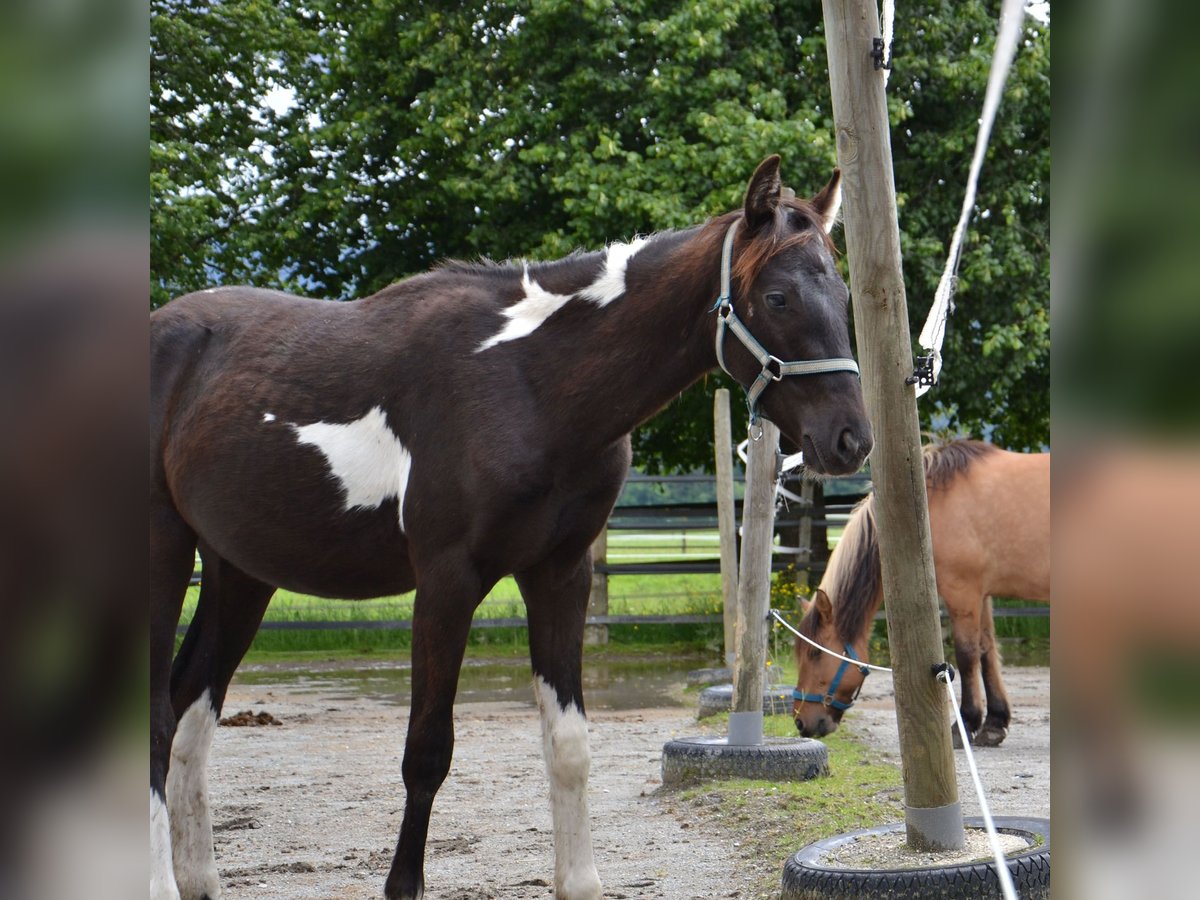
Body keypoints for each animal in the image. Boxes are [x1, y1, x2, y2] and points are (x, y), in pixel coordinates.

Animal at [154, 157, 878, 900]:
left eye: (842, 291)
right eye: (779, 297)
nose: (850, 439)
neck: (530, 383)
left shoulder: (560, 575)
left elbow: (569, 745)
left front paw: (579, 881)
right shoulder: (447, 583)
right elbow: (427, 751)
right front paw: (404, 884)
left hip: (240, 573)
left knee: (188, 710)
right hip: (163, 557)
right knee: (154, 717)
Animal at [792, 441, 1046, 748]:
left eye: (815, 653)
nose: (801, 721)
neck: (934, 500)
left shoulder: (963, 594)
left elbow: (967, 656)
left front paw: (964, 724)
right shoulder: (981, 595)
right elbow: (987, 652)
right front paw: (994, 725)